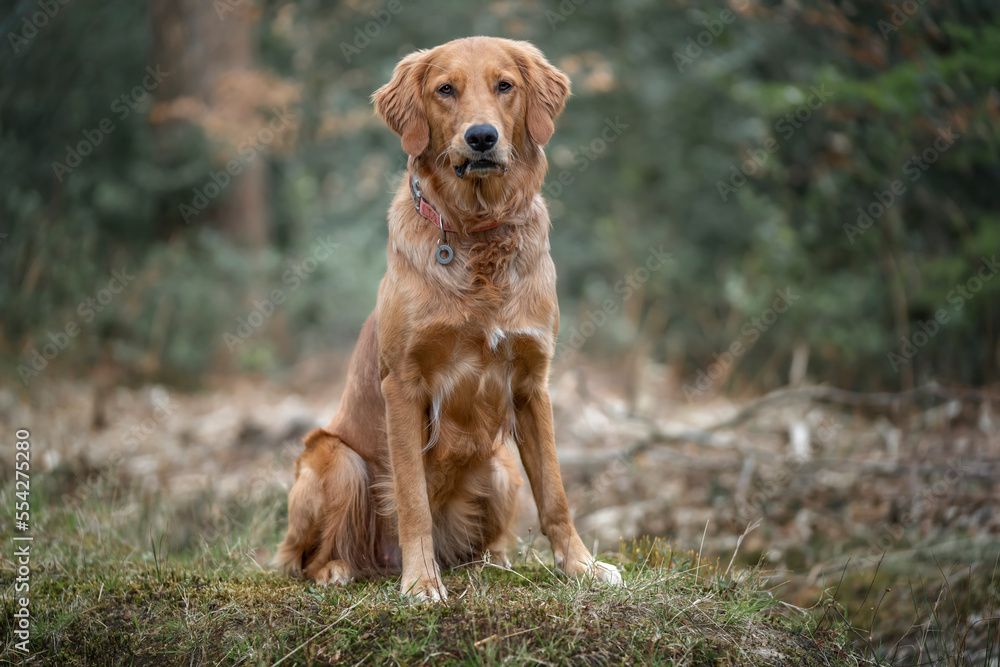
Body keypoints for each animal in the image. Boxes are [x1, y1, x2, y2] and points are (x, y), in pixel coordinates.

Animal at [278, 35, 620, 600]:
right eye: (445, 90)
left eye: (505, 85)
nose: (481, 137)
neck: (477, 233)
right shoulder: (404, 384)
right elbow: (412, 499)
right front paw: (421, 582)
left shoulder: (532, 384)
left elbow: (555, 493)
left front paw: (581, 565)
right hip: (338, 460)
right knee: (303, 556)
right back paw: (340, 569)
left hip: (500, 468)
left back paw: (489, 562)